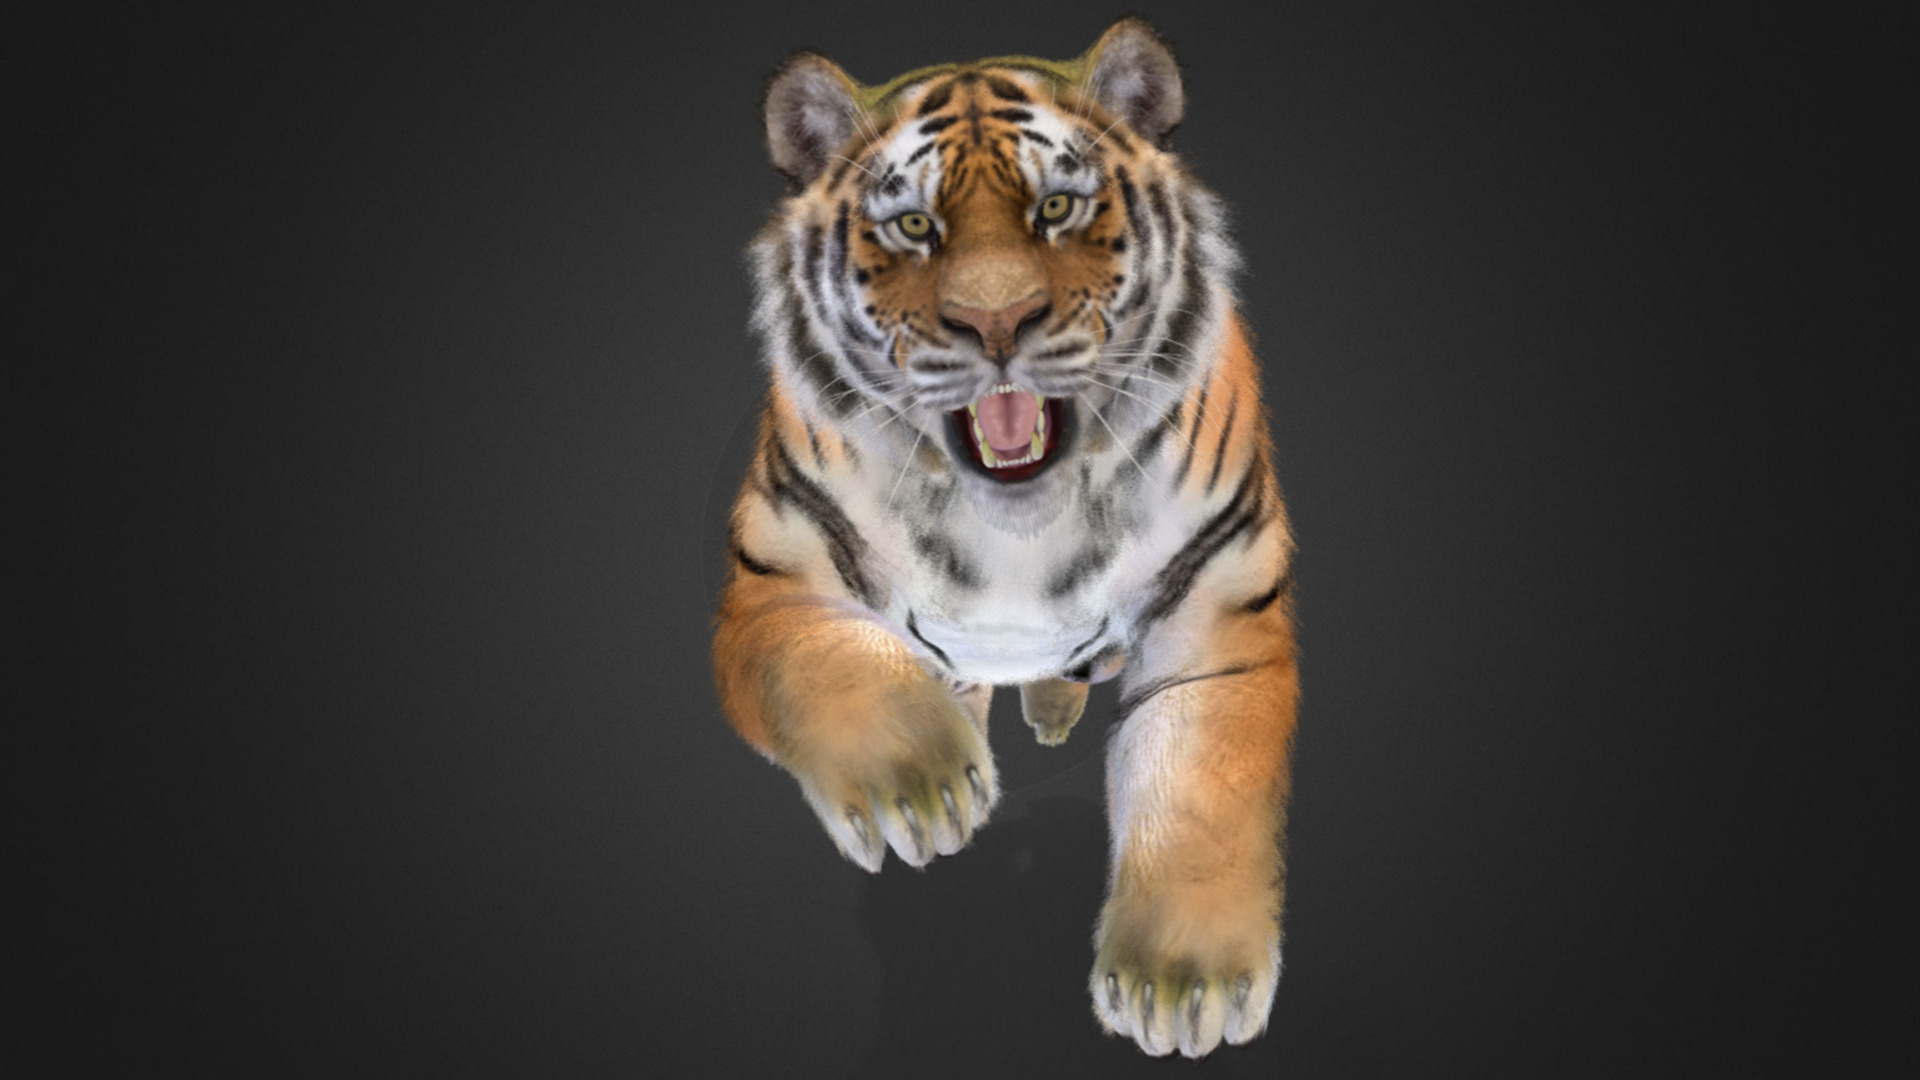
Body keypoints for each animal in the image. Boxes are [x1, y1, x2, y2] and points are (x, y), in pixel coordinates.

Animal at [713, 18, 1299, 1059]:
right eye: (913, 226)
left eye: (1056, 208)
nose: (995, 322)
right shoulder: (769, 580)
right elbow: (833, 662)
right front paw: (921, 786)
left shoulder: (1222, 619)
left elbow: (1201, 782)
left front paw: (1182, 985)